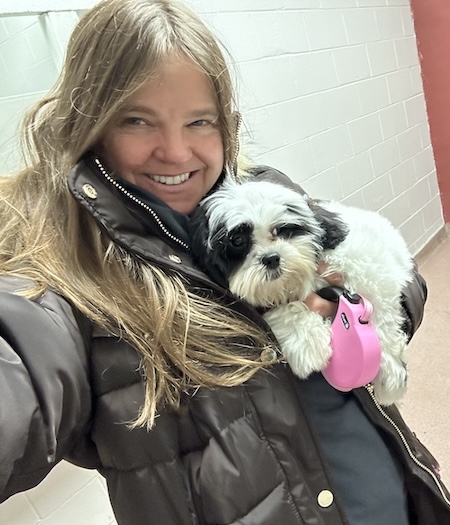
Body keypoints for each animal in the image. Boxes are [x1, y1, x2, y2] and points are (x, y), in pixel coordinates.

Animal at [190, 177, 414, 406]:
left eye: (282, 229)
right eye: (237, 241)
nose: (271, 258)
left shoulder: (367, 263)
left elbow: (377, 304)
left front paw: (391, 373)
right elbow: (282, 309)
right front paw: (307, 343)